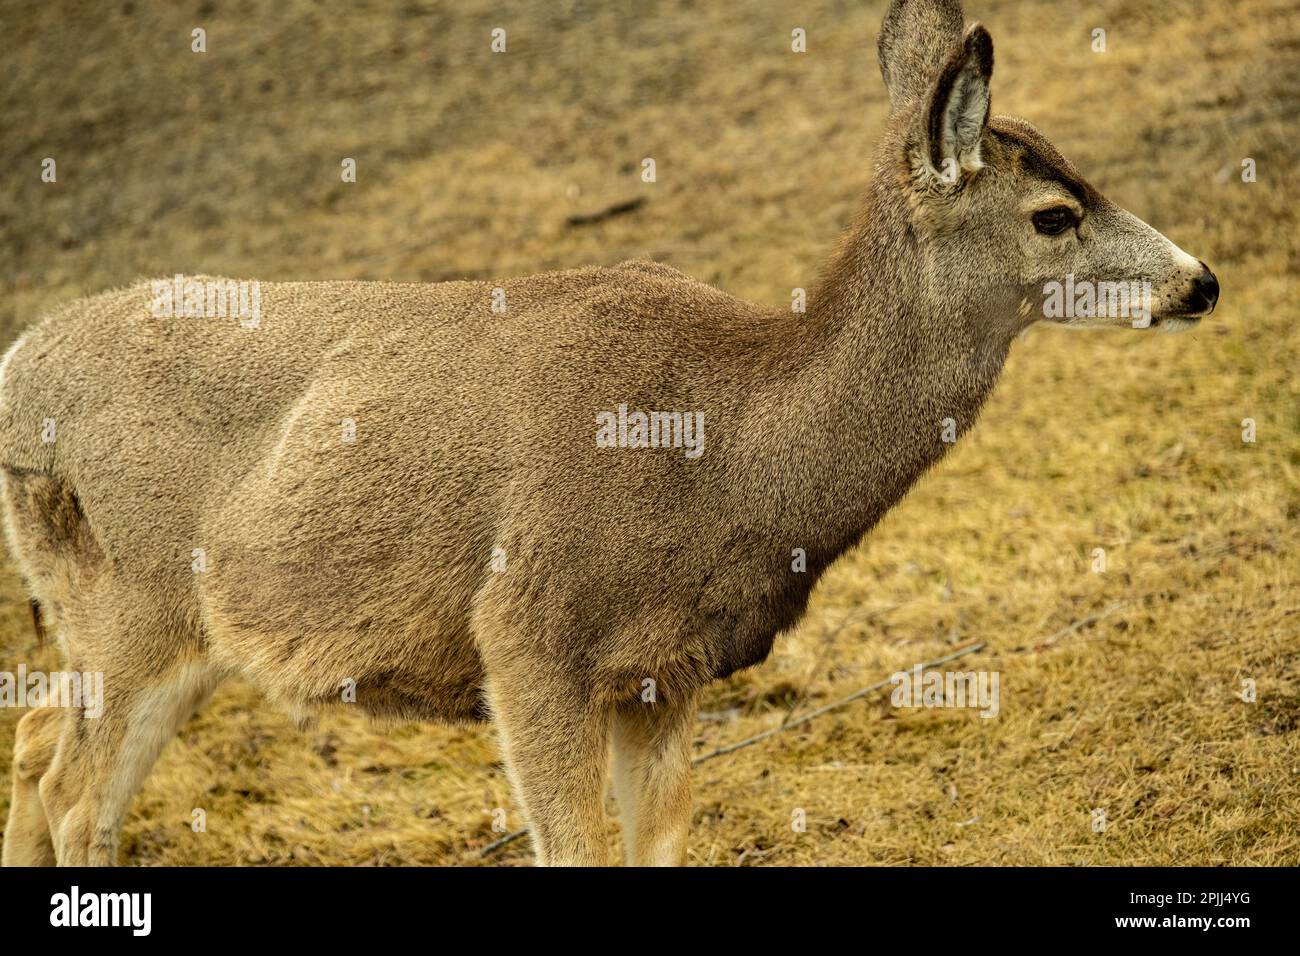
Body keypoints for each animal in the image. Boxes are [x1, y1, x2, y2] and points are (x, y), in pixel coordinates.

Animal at [0, 0, 1217, 868]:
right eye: (1053, 215)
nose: (1200, 281)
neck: (728, 457)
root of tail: (20, 372)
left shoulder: (667, 667)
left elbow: (660, 848)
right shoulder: (527, 631)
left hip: (129, 620)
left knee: (34, 749)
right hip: (135, 593)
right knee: (69, 791)